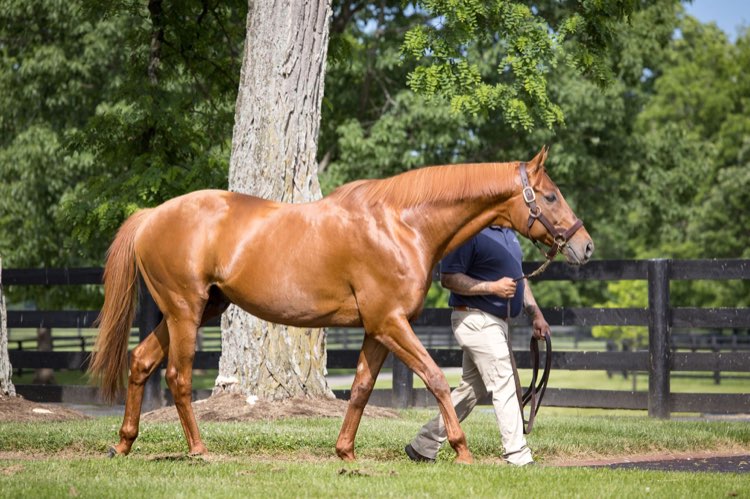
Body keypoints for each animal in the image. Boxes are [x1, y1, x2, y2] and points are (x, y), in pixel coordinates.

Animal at [88, 146, 593, 464]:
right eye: (550, 195)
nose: (584, 246)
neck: (401, 225)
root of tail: (152, 215)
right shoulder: (391, 323)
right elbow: (435, 378)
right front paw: (462, 450)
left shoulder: (377, 329)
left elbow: (362, 389)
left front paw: (345, 452)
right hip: (184, 312)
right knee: (176, 375)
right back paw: (198, 450)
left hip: (194, 311)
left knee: (140, 361)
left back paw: (123, 445)